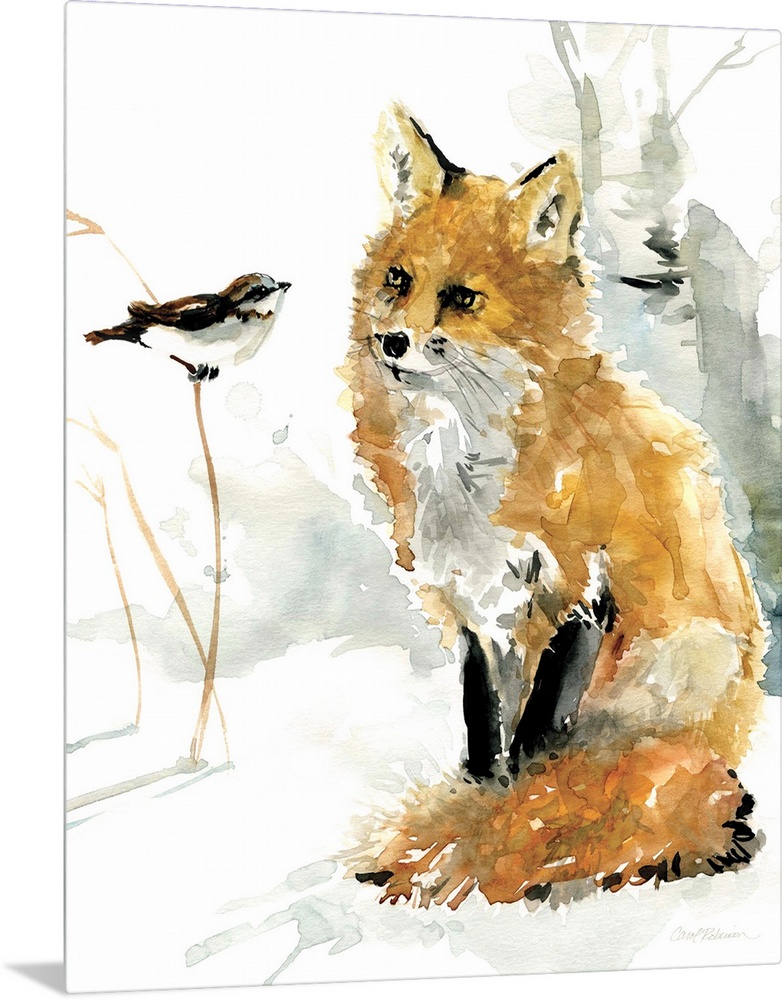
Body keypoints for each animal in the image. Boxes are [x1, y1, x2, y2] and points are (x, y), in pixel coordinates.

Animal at [343, 104, 768, 909]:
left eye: (462, 297)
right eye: (398, 280)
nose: (391, 341)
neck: (465, 462)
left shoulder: (582, 591)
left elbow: (539, 745)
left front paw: (509, 823)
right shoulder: (476, 612)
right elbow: (488, 742)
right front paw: (484, 801)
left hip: (678, 667)